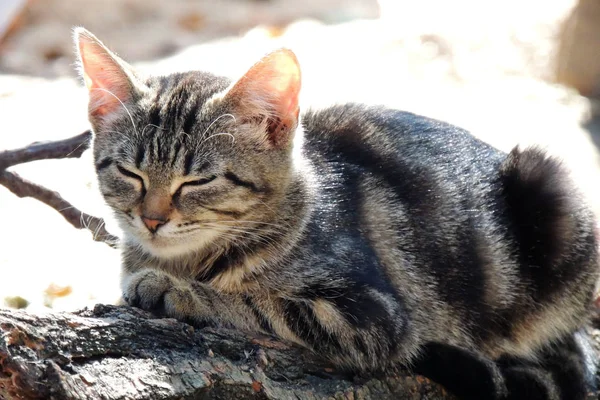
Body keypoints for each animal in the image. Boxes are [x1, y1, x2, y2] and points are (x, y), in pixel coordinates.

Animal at [72, 26, 596, 398]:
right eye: (130, 173)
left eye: (198, 181)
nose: (152, 219)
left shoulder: (374, 317)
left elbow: (260, 303)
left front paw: (178, 290)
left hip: (555, 201)